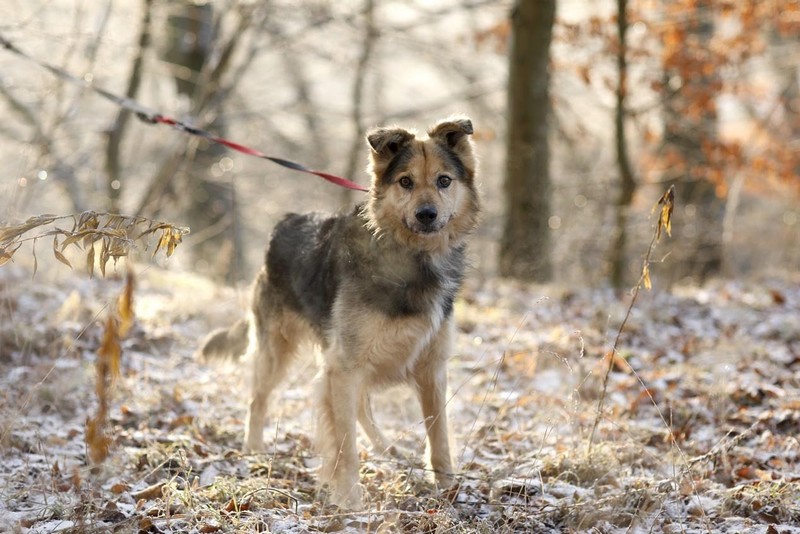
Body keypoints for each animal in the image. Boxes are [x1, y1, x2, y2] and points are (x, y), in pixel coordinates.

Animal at [197, 117, 478, 510]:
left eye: (444, 180)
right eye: (405, 181)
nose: (427, 215)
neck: (412, 260)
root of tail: (286, 221)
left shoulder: (431, 368)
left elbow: (439, 437)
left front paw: (448, 489)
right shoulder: (344, 366)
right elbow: (344, 445)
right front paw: (350, 501)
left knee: (361, 408)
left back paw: (387, 449)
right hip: (278, 350)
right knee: (259, 398)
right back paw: (253, 450)